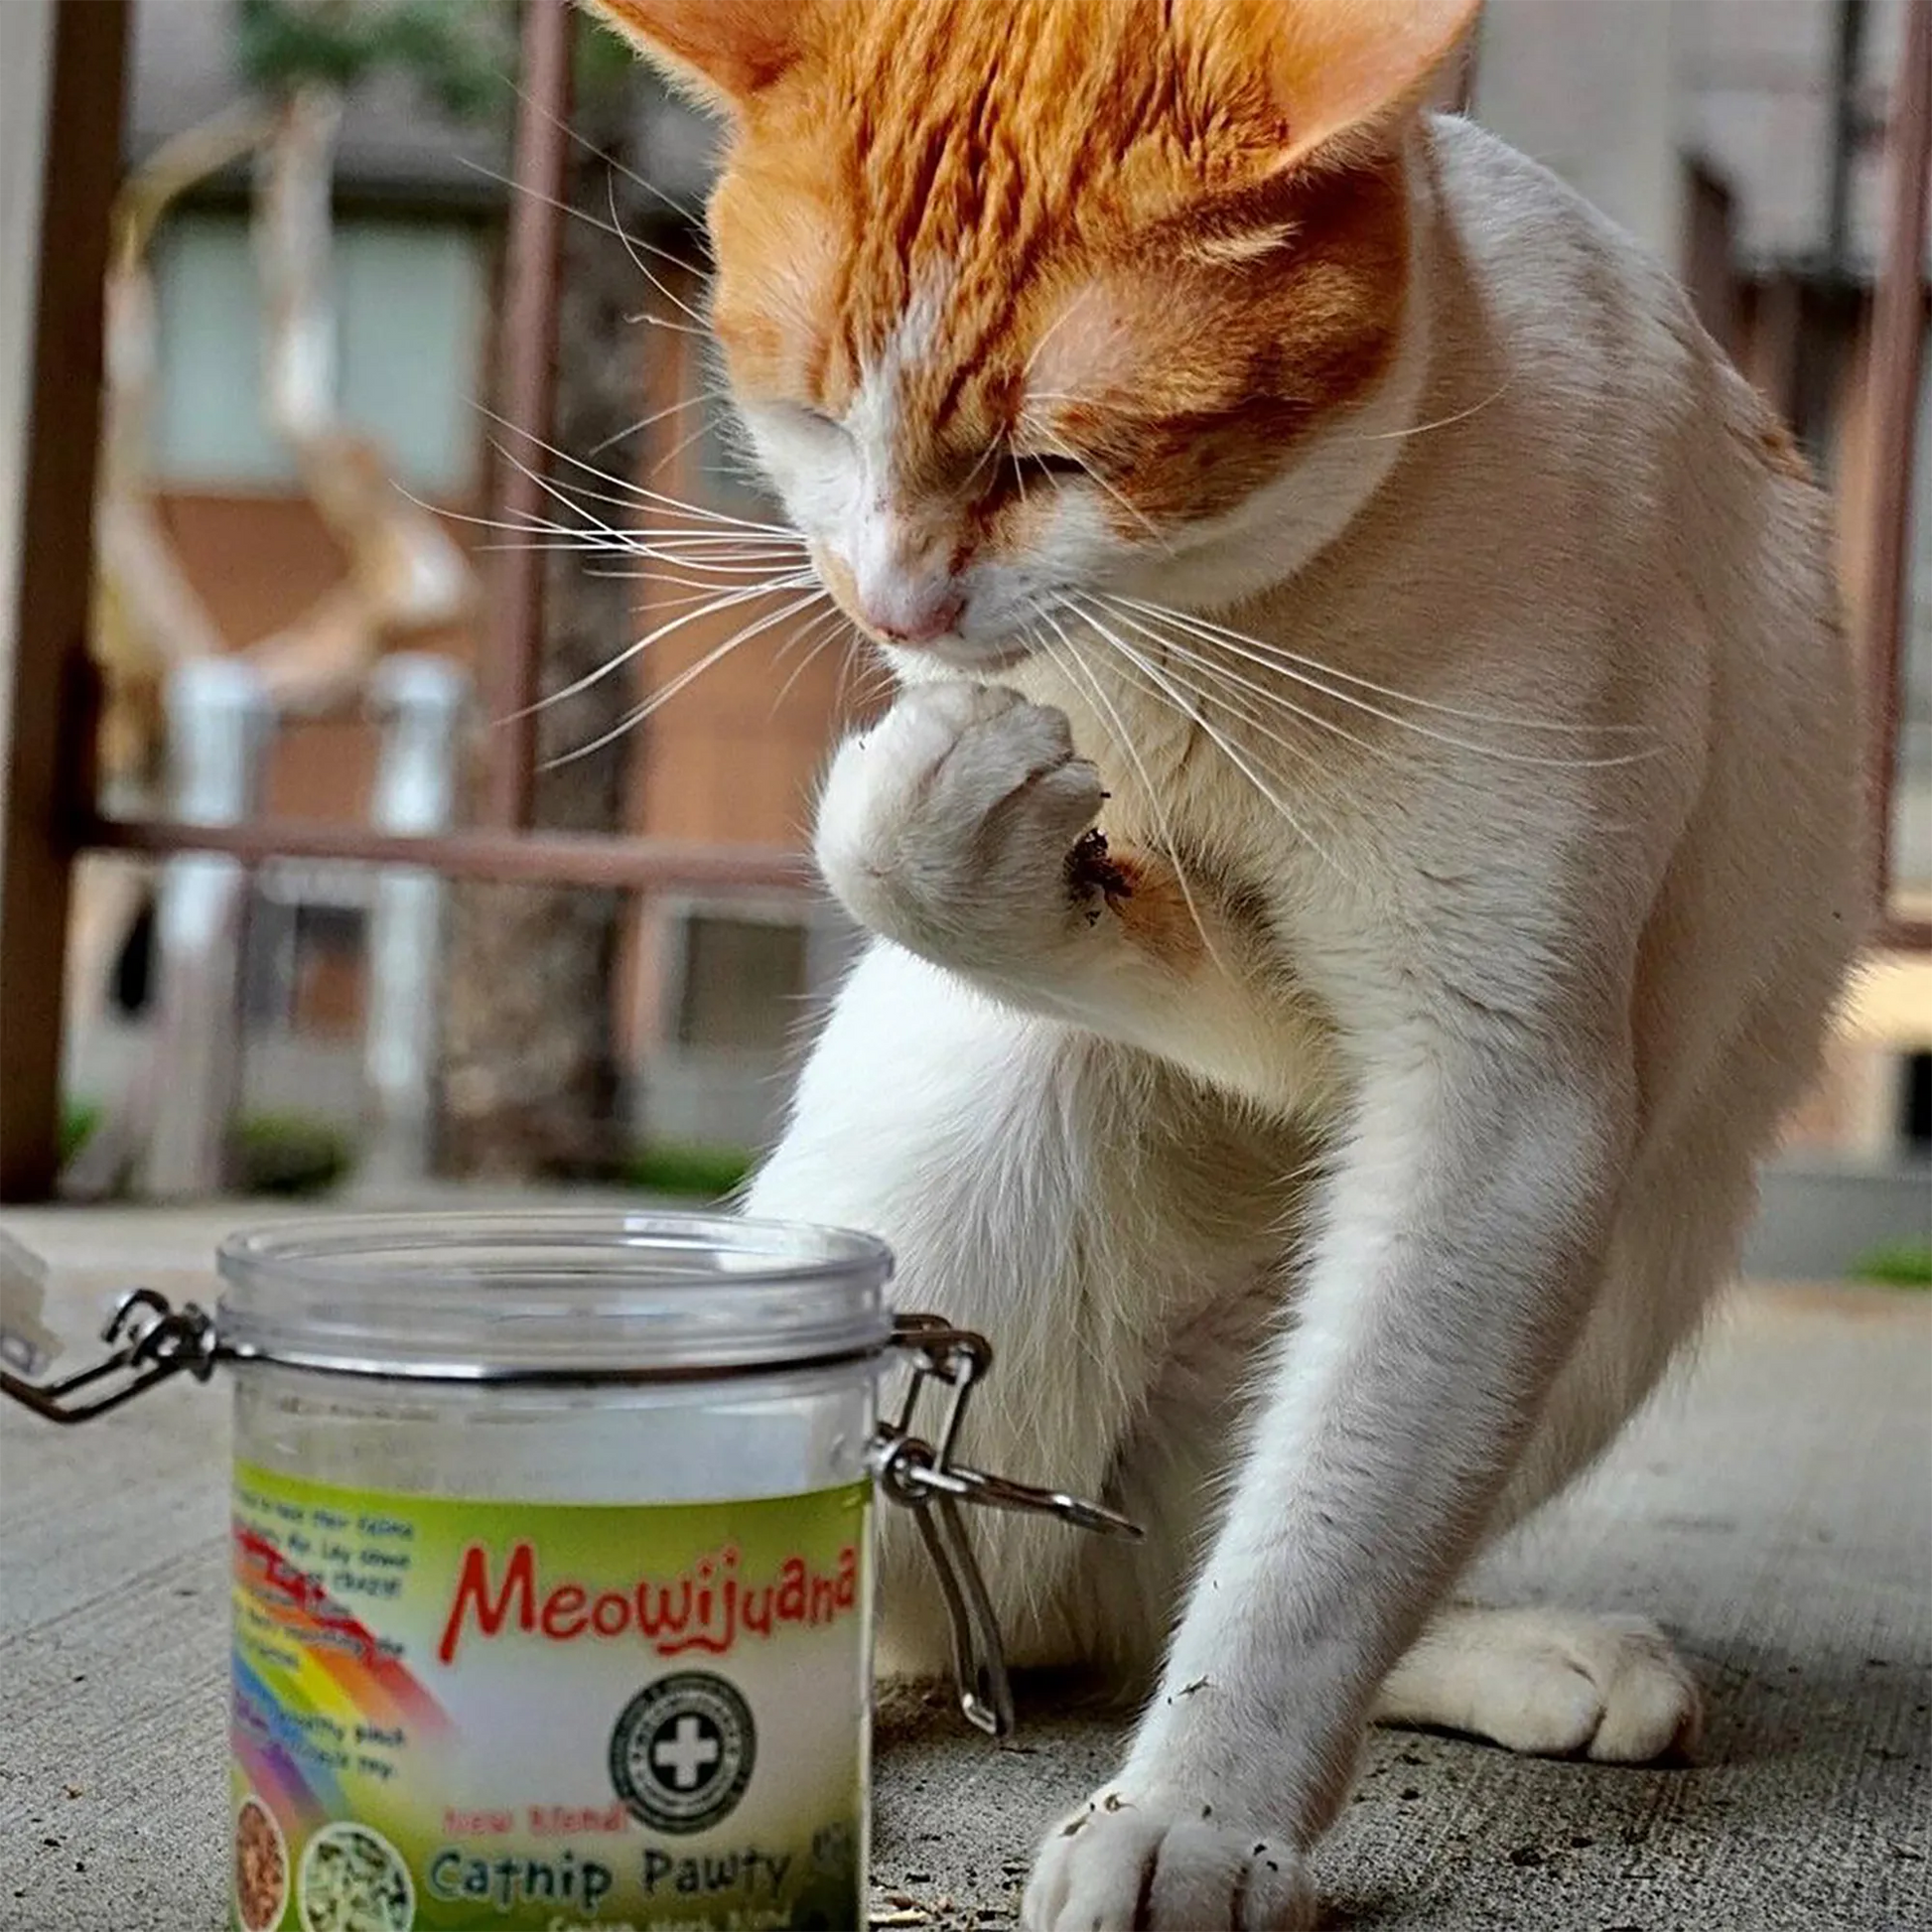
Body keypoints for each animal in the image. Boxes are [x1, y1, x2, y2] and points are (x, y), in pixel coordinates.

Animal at [579, 3, 1862, 1932]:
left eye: (1054, 461)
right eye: (808, 412)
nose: (890, 605)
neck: (1222, 638)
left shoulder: (1501, 1094)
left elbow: (1333, 1524)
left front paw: (1199, 1812)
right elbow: (899, 845)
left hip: (1647, 1218)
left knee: (1249, 1534)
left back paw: (1503, 1649)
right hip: (966, 1129)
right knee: (941, 1575)